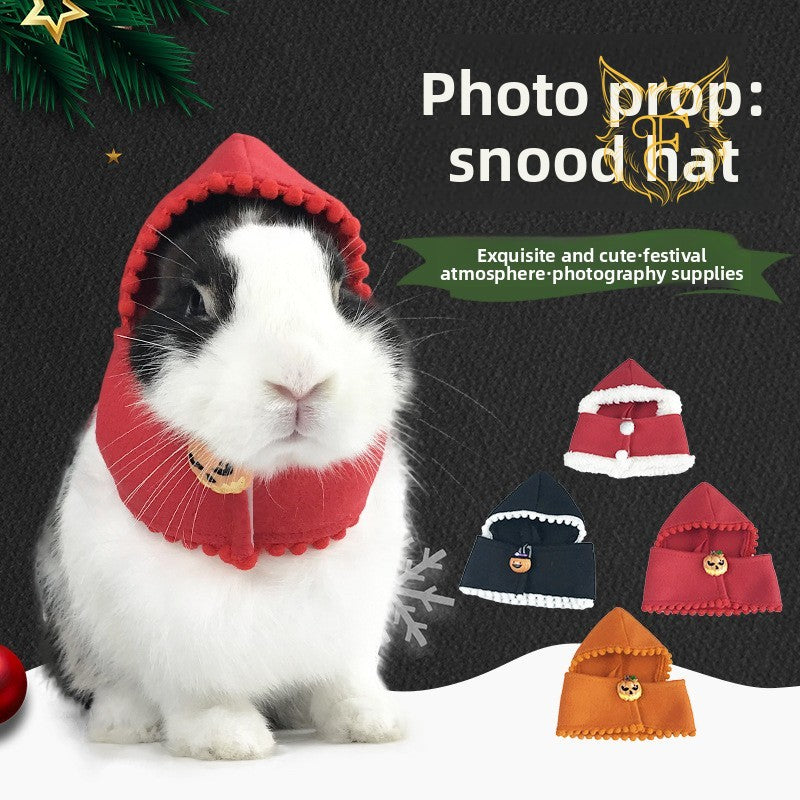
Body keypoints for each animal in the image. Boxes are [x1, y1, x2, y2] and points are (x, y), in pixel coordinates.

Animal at [35, 194, 413, 760]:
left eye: (341, 292)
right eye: (196, 302)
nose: (299, 379)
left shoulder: (351, 619)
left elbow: (344, 681)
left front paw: (372, 724)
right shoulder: (171, 626)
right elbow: (200, 692)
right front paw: (228, 741)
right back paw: (126, 727)